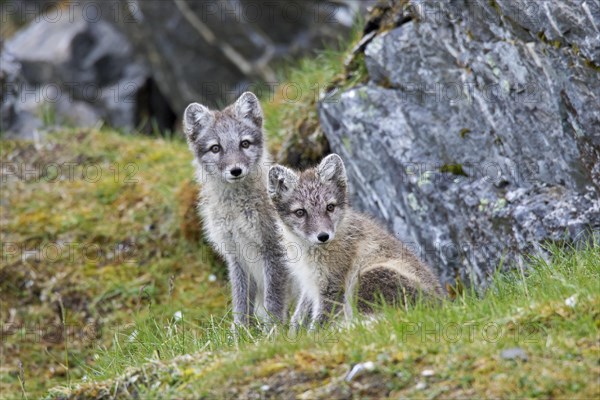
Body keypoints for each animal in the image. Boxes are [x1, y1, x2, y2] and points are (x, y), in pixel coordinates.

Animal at [182, 92, 290, 326]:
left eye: (244, 144)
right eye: (216, 148)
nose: (236, 170)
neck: (237, 212)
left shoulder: (273, 248)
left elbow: (273, 299)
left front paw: (274, 329)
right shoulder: (235, 254)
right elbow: (240, 301)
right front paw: (241, 331)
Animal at [270, 153, 442, 328]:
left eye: (330, 207)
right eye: (300, 212)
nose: (323, 236)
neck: (307, 251)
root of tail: (441, 305)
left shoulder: (332, 287)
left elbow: (320, 323)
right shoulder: (309, 284)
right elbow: (298, 316)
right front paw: (293, 332)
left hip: (368, 277)